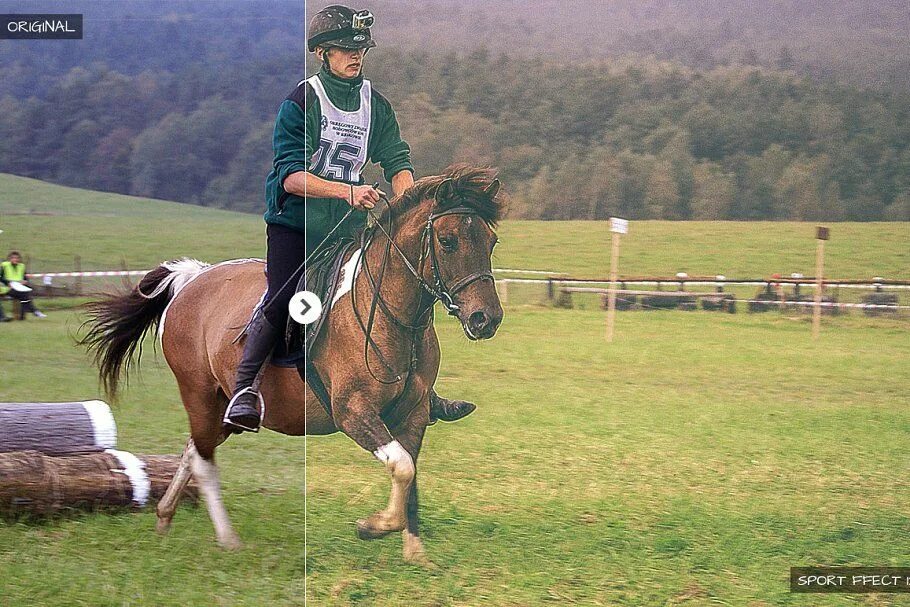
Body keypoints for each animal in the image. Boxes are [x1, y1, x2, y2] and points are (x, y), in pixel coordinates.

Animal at [78, 164, 505, 564]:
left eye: (491, 241)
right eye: (447, 242)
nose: (486, 319)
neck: (390, 312)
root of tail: (194, 278)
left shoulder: (413, 414)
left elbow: (411, 475)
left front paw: (415, 553)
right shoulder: (354, 412)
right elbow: (402, 467)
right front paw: (374, 526)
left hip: (221, 406)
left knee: (193, 450)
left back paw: (165, 518)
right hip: (198, 393)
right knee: (203, 461)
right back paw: (228, 539)